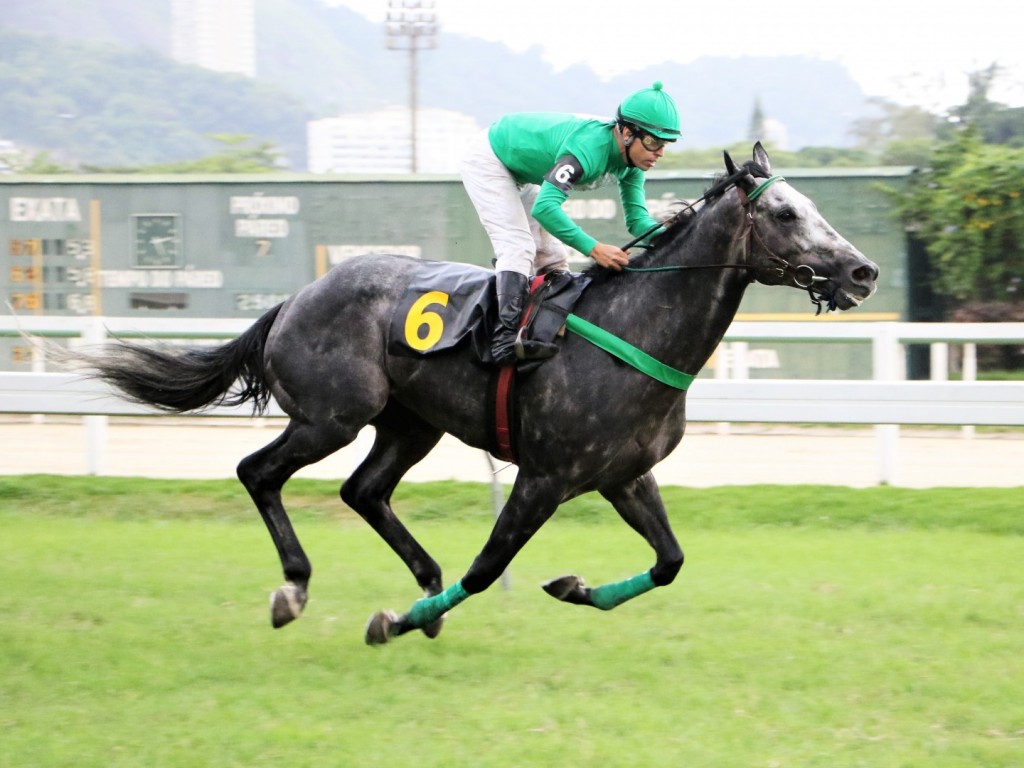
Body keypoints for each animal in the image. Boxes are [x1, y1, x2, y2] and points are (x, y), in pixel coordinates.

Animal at [68, 143, 876, 643]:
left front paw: (571, 587)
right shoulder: (544, 477)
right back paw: (299, 589)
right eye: (785, 214)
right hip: (333, 416)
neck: (634, 326)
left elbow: (670, 561)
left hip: (409, 424)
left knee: (364, 491)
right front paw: (393, 621)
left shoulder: (623, 475)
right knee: (258, 472)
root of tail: (297, 296)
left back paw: (422, 585)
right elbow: (487, 569)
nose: (863, 272)